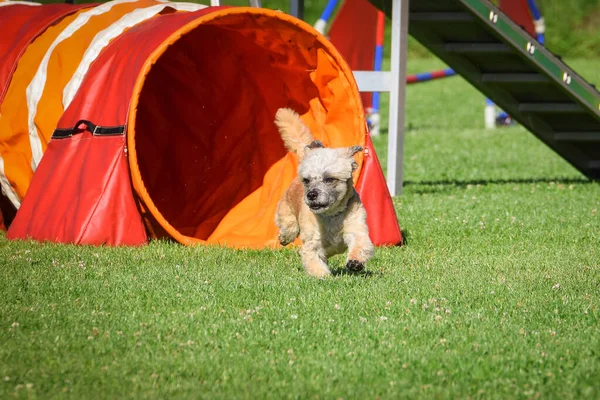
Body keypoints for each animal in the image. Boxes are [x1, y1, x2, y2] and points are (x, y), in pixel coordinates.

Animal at [274, 108, 372, 278]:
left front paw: (355, 262)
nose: (311, 194)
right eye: (306, 180)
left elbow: (360, 243)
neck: (331, 216)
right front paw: (324, 277)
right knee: (289, 228)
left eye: (329, 179)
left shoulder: (356, 228)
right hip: (286, 213)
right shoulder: (312, 244)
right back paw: (284, 237)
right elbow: (313, 260)